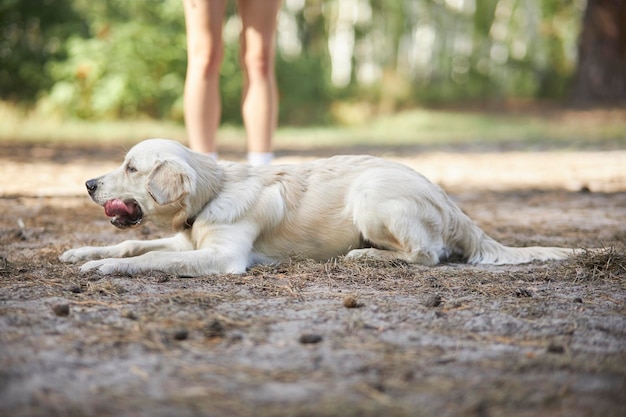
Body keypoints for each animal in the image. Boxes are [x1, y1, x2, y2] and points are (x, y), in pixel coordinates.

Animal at [61, 140, 576, 276]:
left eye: (130, 167)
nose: (87, 183)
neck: (214, 191)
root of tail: (450, 201)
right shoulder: (188, 240)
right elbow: (133, 244)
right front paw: (82, 253)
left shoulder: (222, 256)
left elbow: (149, 258)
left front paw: (104, 267)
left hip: (370, 195)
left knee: (429, 255)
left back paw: (366, 254)